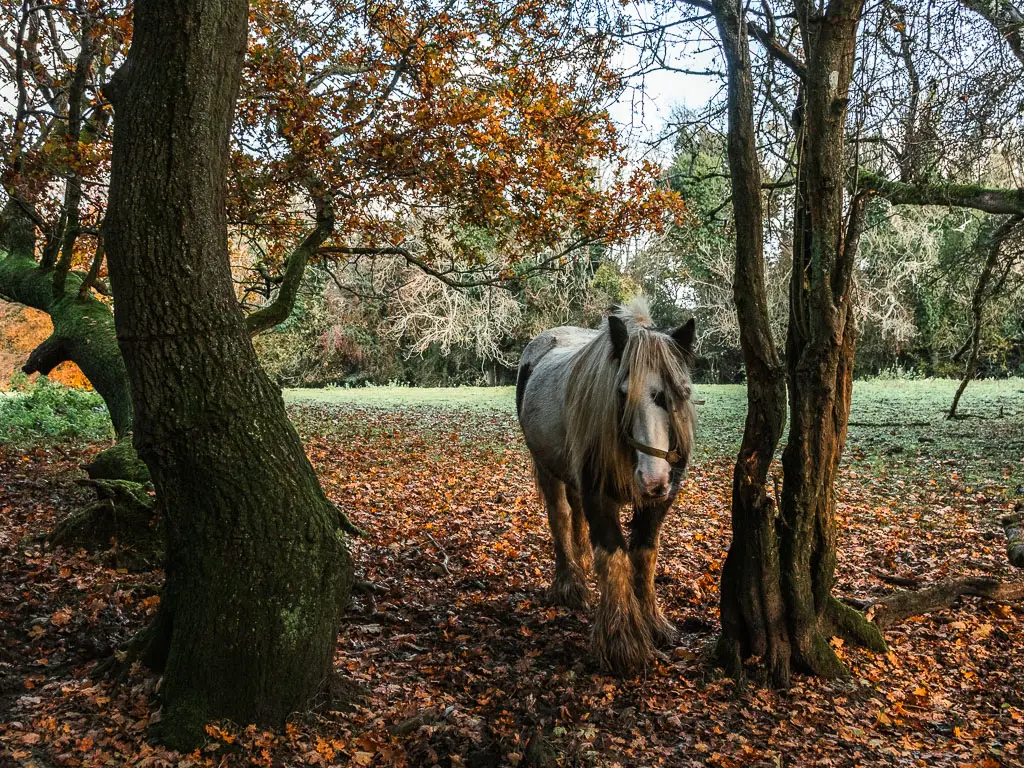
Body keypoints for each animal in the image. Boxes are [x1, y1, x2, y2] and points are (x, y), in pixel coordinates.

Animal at [512, 299, 696, 671]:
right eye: (622, 393)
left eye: (678, 392)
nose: (652, 479)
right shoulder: (598, 496)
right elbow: (614, 558)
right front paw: (622, 643)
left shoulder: (659, 502)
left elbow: (643, 555)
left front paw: (653, 623)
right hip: (547, 468)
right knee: (560, 517)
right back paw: (570, 584)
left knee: (576, 517)